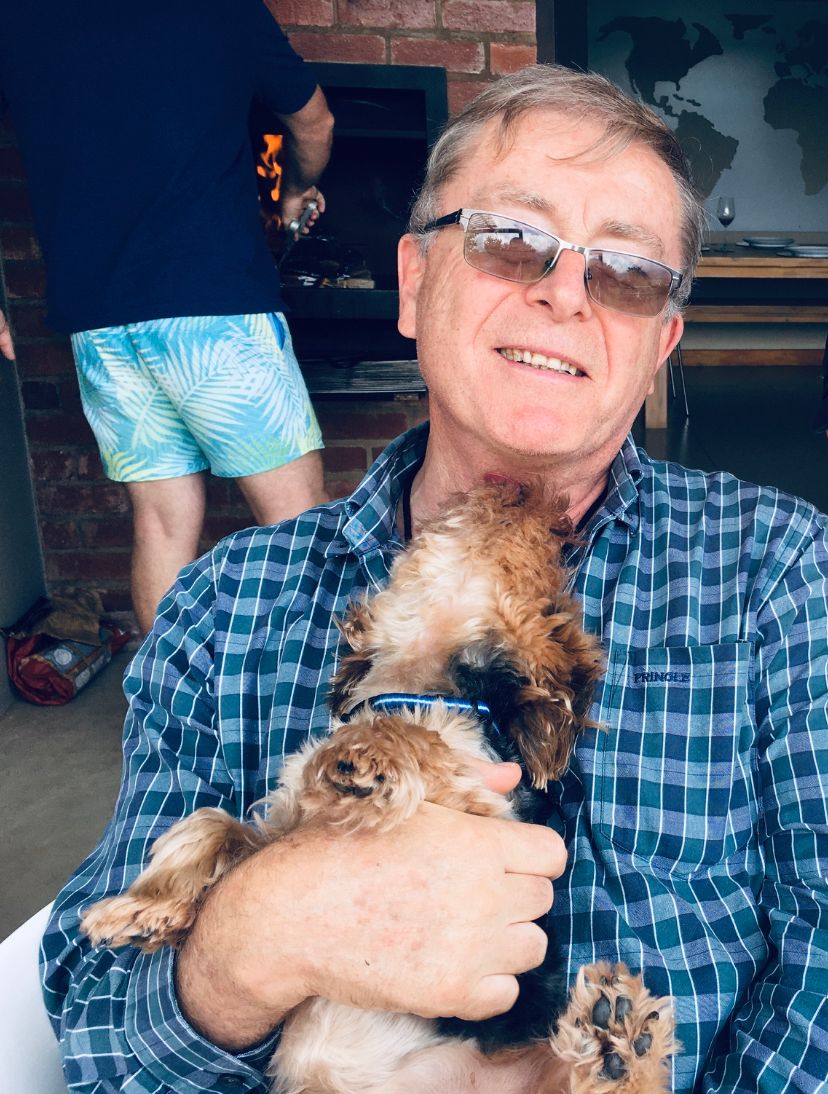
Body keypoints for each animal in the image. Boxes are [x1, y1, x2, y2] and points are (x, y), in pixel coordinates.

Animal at [82, 481, 677, 1094]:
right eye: (552, 549)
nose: (530, 490)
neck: (413, 679)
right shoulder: (283, 826)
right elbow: (212, 824)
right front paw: (144, 907)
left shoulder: (480, 797)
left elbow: (420, 739)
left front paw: (367, 751)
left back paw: (623, 1043)